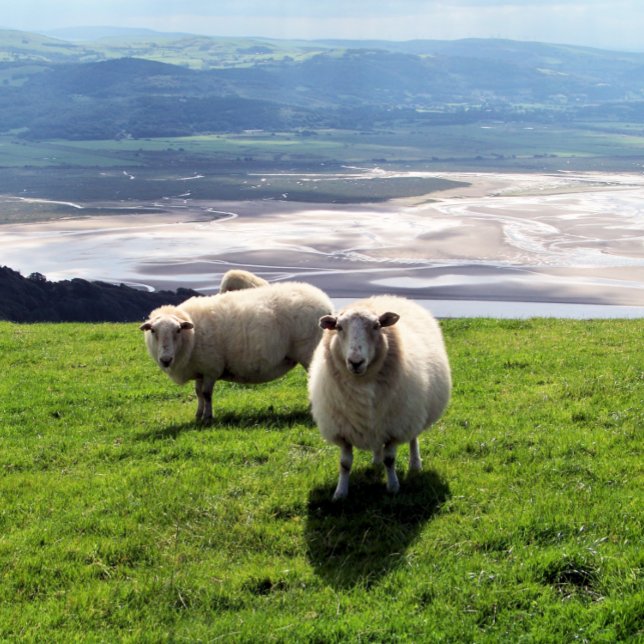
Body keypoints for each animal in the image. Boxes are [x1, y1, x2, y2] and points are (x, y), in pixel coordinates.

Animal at [140, 282, 333, 423]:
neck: (192, 336)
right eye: (153, 331)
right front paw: (198, 415)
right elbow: (198, 393)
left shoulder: (211, 368)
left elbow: (206, 394)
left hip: (309, 352)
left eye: (178, 330)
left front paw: (208, 418)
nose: (165, 360)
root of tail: (324, 300)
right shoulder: (200, 369)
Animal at [307, 295, 451, 500]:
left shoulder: (395, 426)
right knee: (376, 444)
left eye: (376, 326)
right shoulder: (343, 430)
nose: (356, 362)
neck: (362, 383)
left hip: (412, 412)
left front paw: (393, 487)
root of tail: (388, 297)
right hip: (377, 421)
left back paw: (415, 464)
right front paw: (340, 493)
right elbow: (345, 463)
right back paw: (375, 461)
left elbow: (390, 459)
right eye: (339, 327)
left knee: (413, 438)